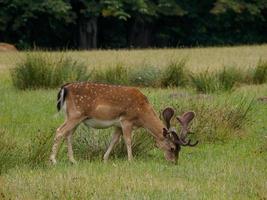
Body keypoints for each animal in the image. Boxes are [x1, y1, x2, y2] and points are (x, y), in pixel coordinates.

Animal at [49, 82, 199, 165]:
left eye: (179, 150)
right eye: (172, 148)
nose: (174, 162)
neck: (142, 114)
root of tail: (65, 88)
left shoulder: (117, 124)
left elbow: (114, 140)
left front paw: (104, 159)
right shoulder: (126, 120)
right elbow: (127, 140)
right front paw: (131, 160)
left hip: (74, 116)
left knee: (68, 134)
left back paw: (72, 160)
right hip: (76, 114)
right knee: (60, 131)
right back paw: (53, 160)